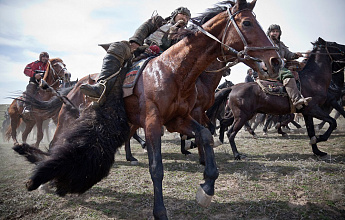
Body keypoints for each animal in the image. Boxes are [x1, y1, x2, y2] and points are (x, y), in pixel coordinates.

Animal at [18, 1, 280, 218]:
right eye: (247, 23)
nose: (275, 61)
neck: (173, 70)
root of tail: (74, 85)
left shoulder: (179, 119)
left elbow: (205, 135)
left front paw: (206, 187)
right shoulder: (154, 123)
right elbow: (157, 168)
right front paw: (160, 211)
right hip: (66, 119)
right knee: (55, 143)